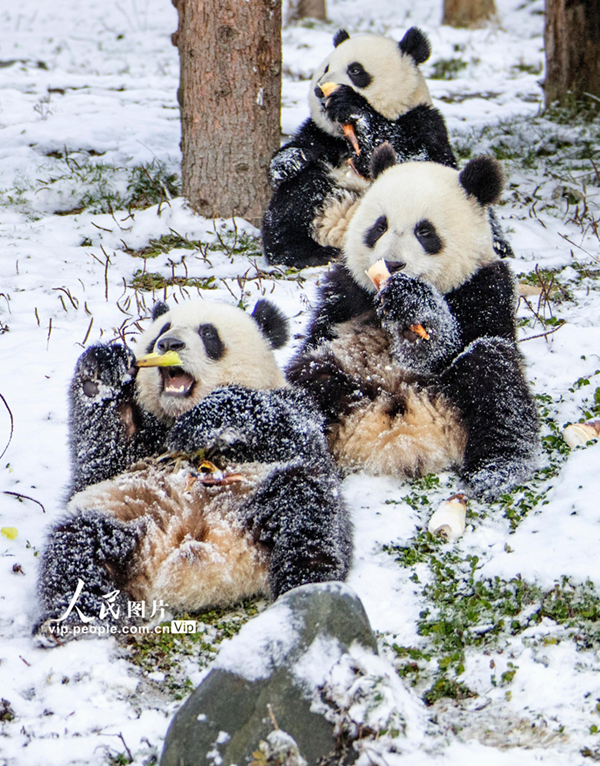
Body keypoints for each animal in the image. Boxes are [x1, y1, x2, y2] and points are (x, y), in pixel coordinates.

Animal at [34, 304, 352, 644]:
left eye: (209, 334)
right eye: (162, 331)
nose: (169, 344)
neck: (176, 414)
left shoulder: (296, 409)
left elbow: (288, 427)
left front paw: (205, 419)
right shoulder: (131, 454)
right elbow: (102, 454)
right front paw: (102, 371)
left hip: (261, 496)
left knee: (304, 511)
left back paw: (308, 585)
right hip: (121, 515)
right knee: (76, 548)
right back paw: (71, 621)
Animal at [288, 146, 540, 504]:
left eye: (425, 231)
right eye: (380, 226)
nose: (392, 264)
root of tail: (402, 439)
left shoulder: (485, 286)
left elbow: (461, 340)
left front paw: (414, 307)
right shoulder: (344, 290)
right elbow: (317, 337)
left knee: (494, 375)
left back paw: (497, 470)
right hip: (342, 379)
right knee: (308, 381)